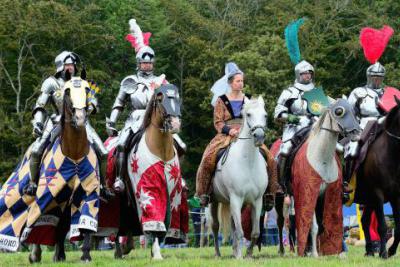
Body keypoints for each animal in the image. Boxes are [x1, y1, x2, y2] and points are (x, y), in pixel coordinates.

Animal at [211, 97, 268, 260]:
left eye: (265, 115)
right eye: (248, 114)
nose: (259, 136)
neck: (248, 163)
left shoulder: (257, 201)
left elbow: (254, 232)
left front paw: (247, 254)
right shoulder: (236, 198)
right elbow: (241, 231)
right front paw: (240, 257)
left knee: (232, 225)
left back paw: (235, 250)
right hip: (214, 201)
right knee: (216, 226)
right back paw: (218, 253)